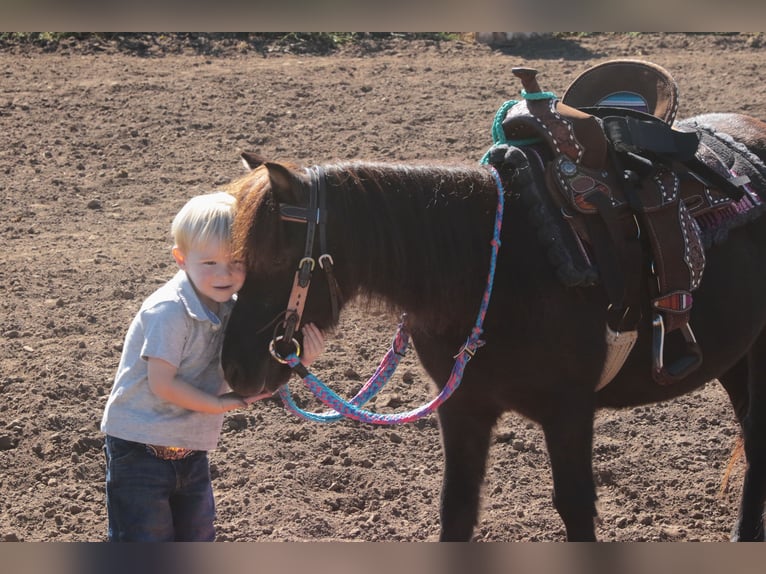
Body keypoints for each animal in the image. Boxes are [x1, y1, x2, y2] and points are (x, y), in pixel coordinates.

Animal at [220, 112, 766, 541]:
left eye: (279, 258)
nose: (235, 368)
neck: (493, 263)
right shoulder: (463, 406)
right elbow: (457, 509)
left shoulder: (570, 410)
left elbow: (576, 508)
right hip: (736, 360)